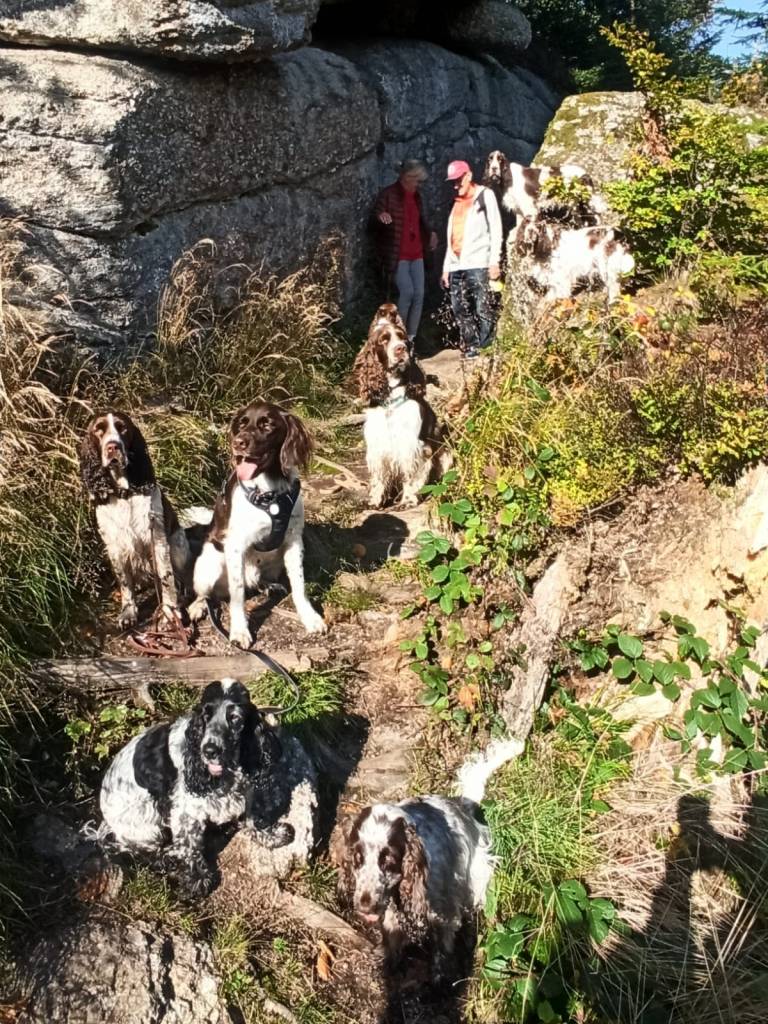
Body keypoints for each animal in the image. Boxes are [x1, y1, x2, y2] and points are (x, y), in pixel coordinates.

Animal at [79, 410, 189, 629]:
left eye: (123, 428)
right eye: (98, 430)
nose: (112, 446)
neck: (124, 493)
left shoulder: (158, 540)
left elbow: (166, 580)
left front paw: (168, 614)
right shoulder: (114, 544)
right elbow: (125, 583)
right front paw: (128, 612)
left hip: (177, 544)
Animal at [188, 401, 325, 647]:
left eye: (267, 425)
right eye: (241, 424)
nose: (238, 443)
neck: (270, 494)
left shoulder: (294, 541)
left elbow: (299, 584)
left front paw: (309, 617)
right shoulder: (236, 546)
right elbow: (238, 593)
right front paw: (240, 630)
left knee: (258, 580)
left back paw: (270, 586)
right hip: (209, 565)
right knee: (206, 593)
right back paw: (198, 606)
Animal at [334, 739, 524, 974]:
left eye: (389, 860)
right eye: (357, 857)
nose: (364, 906)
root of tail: (463, 805)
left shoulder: (444, 912)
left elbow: (442, 949)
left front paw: (439, 975)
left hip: (477, 876)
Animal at [353, 316, 451, 509]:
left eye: (402, 338)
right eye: (384, 340)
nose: (401, 349)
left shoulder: (413, 445)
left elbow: (412, 475)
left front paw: (408, 500)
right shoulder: (378, 444)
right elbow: (379, 478)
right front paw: (375, 500)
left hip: (446, 450)